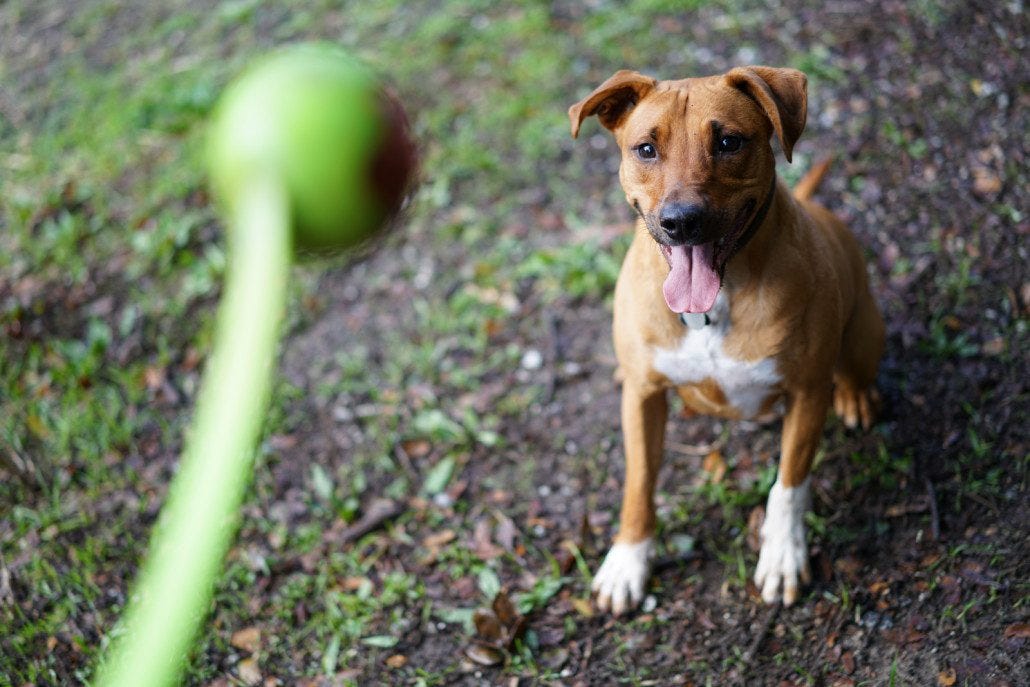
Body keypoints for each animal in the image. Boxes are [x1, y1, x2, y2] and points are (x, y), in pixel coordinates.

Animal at [568, 65, 881, 613]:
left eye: (729, 142)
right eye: (646, 149)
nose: (680, 221)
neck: (711, 308)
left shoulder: (807, 392)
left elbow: (789, 484)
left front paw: (782, 556)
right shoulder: (643, 394)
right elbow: (639, 481)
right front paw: (628, 560)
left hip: (863, 335)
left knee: (852, 372)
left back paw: (855, 397)